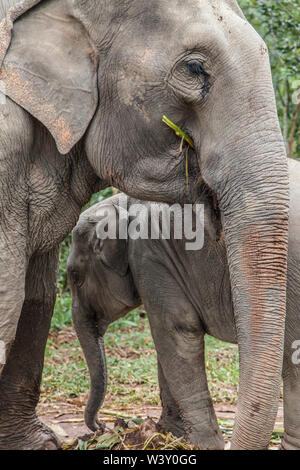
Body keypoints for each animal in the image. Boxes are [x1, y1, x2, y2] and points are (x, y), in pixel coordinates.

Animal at [68, 160, 300, 450]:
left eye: (74, 277)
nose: (99, 426)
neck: (122, 201)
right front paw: (170, 434)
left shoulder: (151, 258)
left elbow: (176, 333)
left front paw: (200, 444)